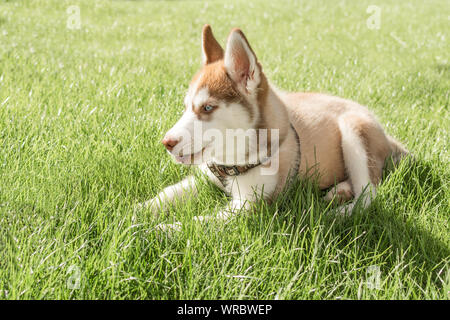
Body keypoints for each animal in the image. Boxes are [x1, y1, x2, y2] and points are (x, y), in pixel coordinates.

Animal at [139, 25, 410, 230]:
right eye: (186, 107)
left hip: (355, 131)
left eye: (207, 108)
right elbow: (166, 193)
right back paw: (340, 191)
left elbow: (197, 222)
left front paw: (157, 231)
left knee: (369, 192)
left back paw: (340, 212)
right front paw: (137, 212)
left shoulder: (251, 207)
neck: (234, 161)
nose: (167, 142)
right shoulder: (204, 177)